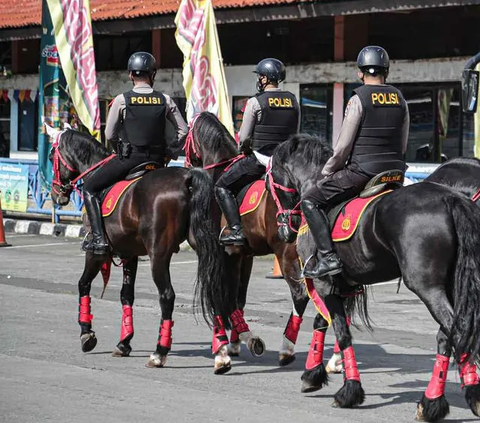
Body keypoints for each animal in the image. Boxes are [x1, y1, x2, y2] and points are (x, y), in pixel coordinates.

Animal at [46, 126, 233, 374]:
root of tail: (188, 177)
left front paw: (87, 334)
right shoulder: (130, 254)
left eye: (51, 157)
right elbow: (127, 295)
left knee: (167, 296)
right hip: (203, 246)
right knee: (212, 289)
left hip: (158, 255)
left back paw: (159, 353)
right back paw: (221, 353)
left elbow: (83, 284)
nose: (56, 195)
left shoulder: (95, 252)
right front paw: (124, 342)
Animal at [268, 134, 480, 422]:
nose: (284, 229)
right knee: (450, 334)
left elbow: (341, 332)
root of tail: (450, 198)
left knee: (456, 330)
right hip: (451, 285)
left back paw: (454, 398)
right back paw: (435, 401)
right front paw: (313, 373)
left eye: (270, 179)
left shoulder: (324, 283)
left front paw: (349, 390)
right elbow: (322, 322)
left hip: (428, 287)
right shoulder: (341, 284)